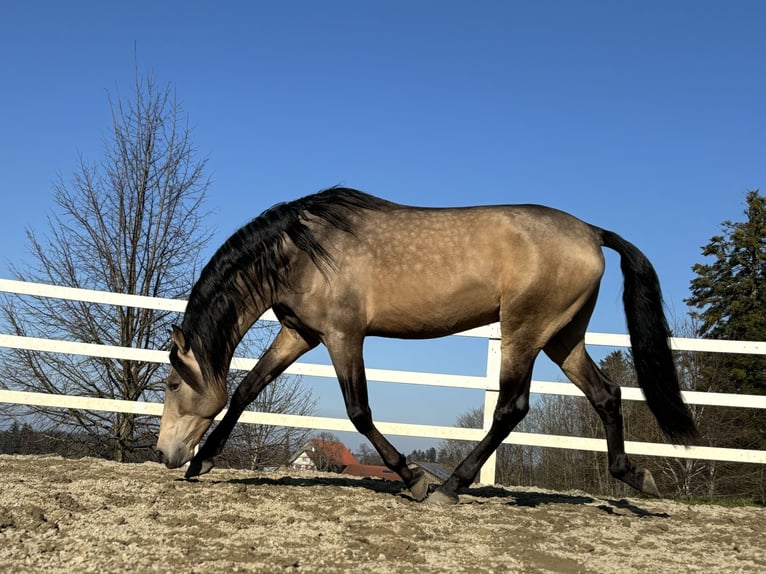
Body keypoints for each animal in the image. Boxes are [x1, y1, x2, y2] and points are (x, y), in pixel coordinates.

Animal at [158, 188, 704, 504]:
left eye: (170, 384)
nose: (166, 454)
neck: (303, 251)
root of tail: (591, 232)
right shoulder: (300, 333)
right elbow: (247, 388)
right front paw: (203, 463)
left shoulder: (342, 336)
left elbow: (359, 410)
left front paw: (414, 479)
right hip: (562, 336)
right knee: (606, 394)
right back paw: (634, 476)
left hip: (525, 331)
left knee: (511, 407)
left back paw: (449, 487)